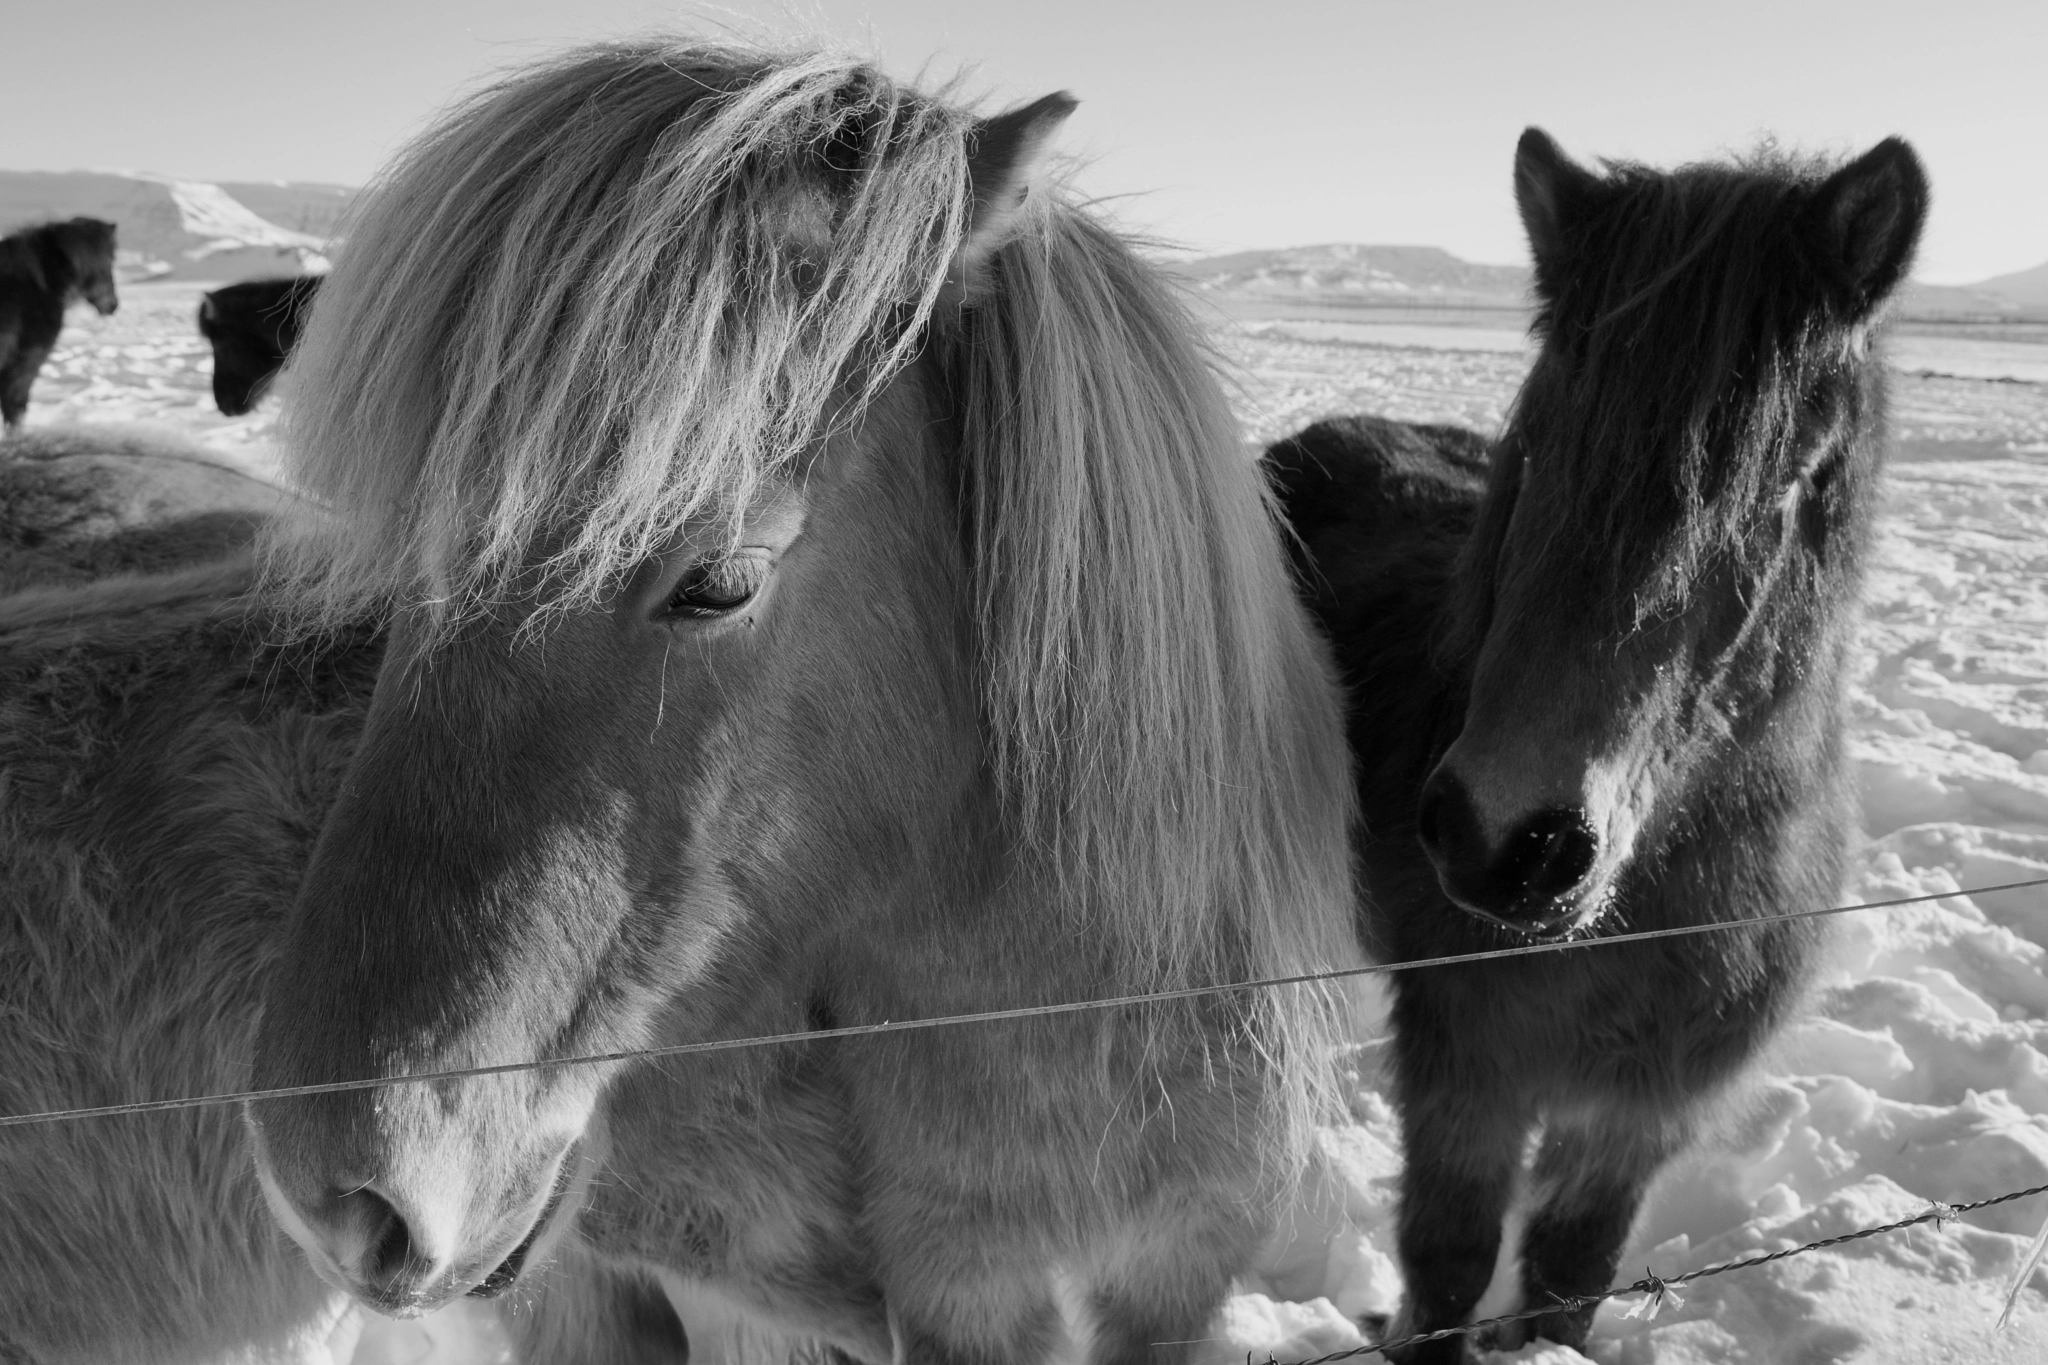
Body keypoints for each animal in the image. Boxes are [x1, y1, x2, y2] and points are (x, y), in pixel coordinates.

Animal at [1265, 129, 1927, 1361]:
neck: (1646, 911)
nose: (1506, 844)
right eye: (1538, 452)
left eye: (1784, 484)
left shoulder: (1642, 1110)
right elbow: (1446, 1268)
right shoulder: (1468, 1079)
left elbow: (1569, 1278)